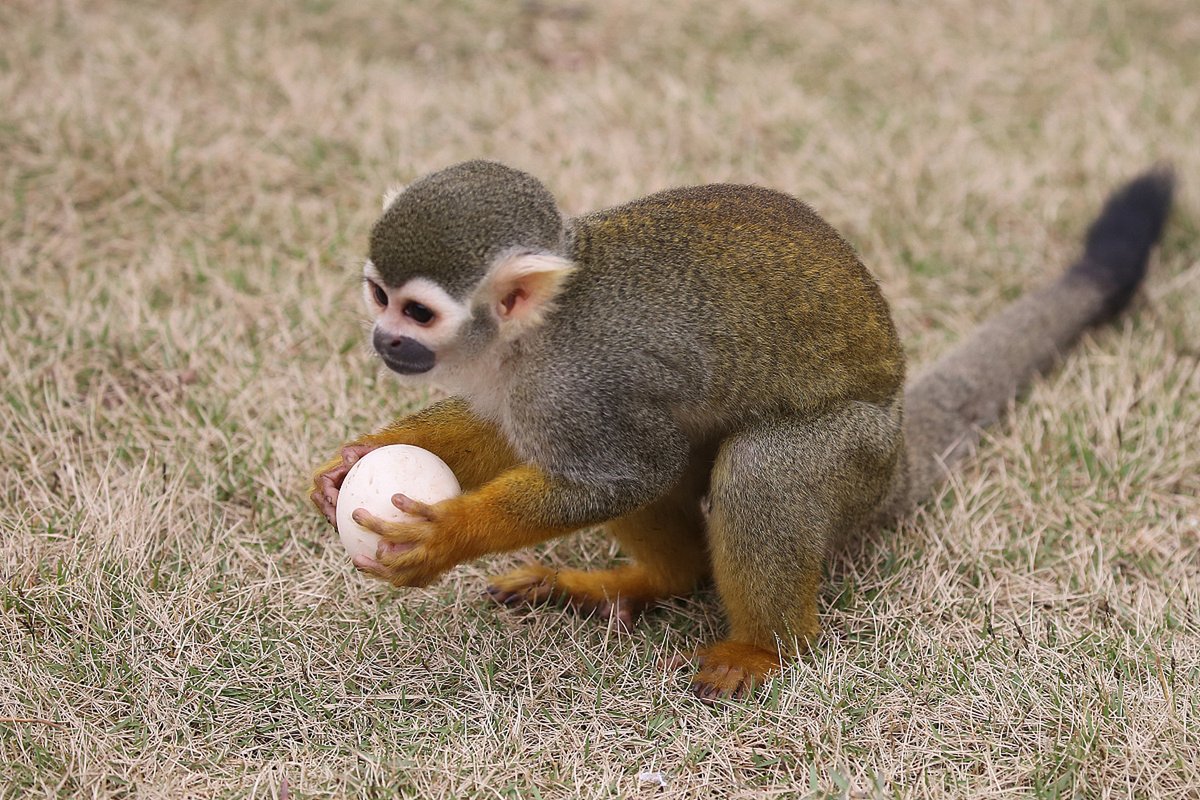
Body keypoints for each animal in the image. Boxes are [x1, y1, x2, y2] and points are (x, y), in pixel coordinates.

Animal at [309, 160, 1174, 700]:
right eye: (378, 295)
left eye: (418, 311)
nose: (384, 340)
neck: (529, 335)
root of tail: (896, 440)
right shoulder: (514, 380)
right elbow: (512, 438)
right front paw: (356, 457)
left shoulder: (583, 381)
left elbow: (625, 470)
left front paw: (447, 535)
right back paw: (655, 581)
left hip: (853, 456)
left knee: (759, 470)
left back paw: (764, 645)